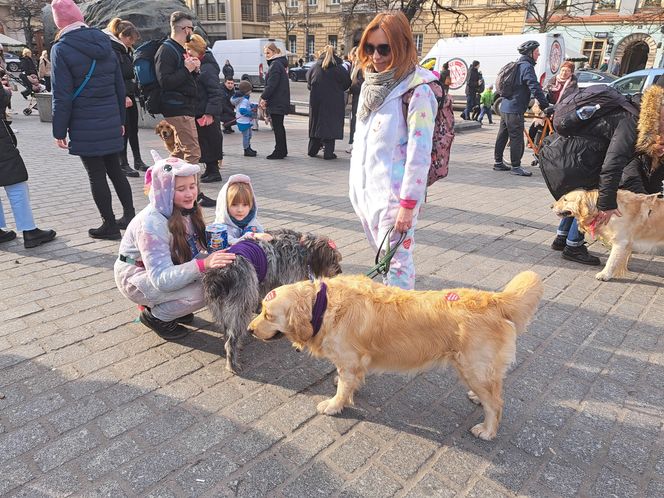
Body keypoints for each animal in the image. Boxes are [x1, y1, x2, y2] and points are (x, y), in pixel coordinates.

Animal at [202, 228, 342, 372]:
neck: (302, 245)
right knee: (231, 340)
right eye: (334, 259)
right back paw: (232, 363)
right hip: (241, 307)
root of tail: (219, 274)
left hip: (223, 309)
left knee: (227, 333)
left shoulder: (266, 283)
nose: (340, 271)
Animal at [246, 272, 544, 440]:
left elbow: (343, 389)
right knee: (494, 392)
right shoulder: (353, 364)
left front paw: (333, 405)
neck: (322, 305)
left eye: (268, 315)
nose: (248, 330)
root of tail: (494, 300)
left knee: (496, 403)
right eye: (260, 309)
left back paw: (488, 431)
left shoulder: (351, 360)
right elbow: (348, 381)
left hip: (473, 367)